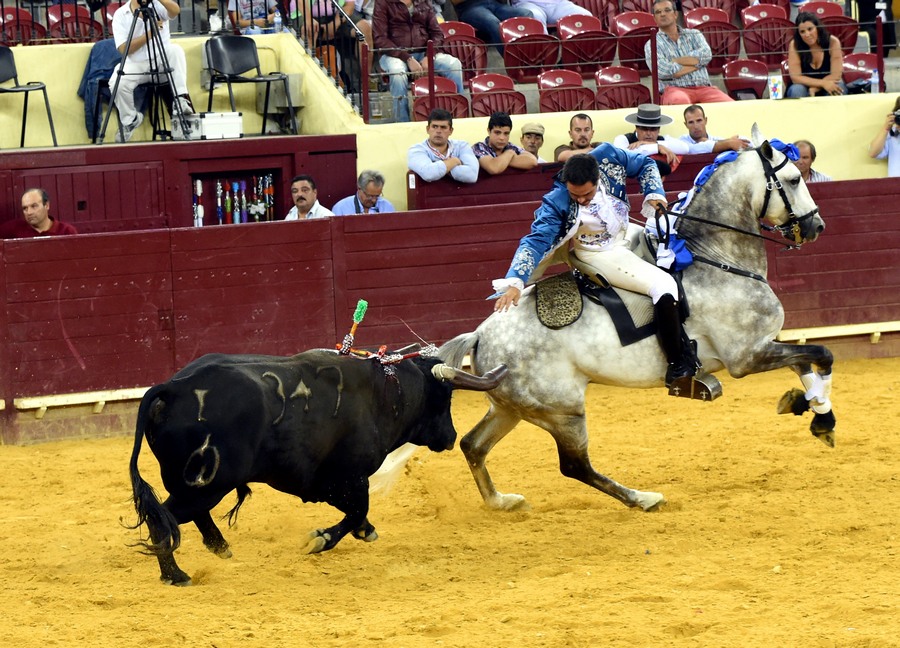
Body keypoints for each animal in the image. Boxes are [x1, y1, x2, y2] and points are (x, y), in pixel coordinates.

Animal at [128, 352, 506, 584]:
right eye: (446, 397)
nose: (451, 436)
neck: (384, 395)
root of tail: (174, 387)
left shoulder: (324, 485)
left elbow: (356, 511)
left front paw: (363, 531)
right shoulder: (346, 478)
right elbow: (357, 510)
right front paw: (322, 539)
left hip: (199, 486)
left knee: (185, 514)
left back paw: (219, 547)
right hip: (206, 484)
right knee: (165, 518)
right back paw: (176, 575)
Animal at [440, 125, 832, 512]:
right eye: (795, 178)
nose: (817, 226)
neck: (715, 258)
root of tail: (479, 335)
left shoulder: (764, 347)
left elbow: (805, 362)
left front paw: (816, 413)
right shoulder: (747, 357)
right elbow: (822, 355)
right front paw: (819, 415)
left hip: (512, 408)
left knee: (473, 444)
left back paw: (500, 501)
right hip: (561, 410)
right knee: (574, 465)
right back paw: (642, 498)